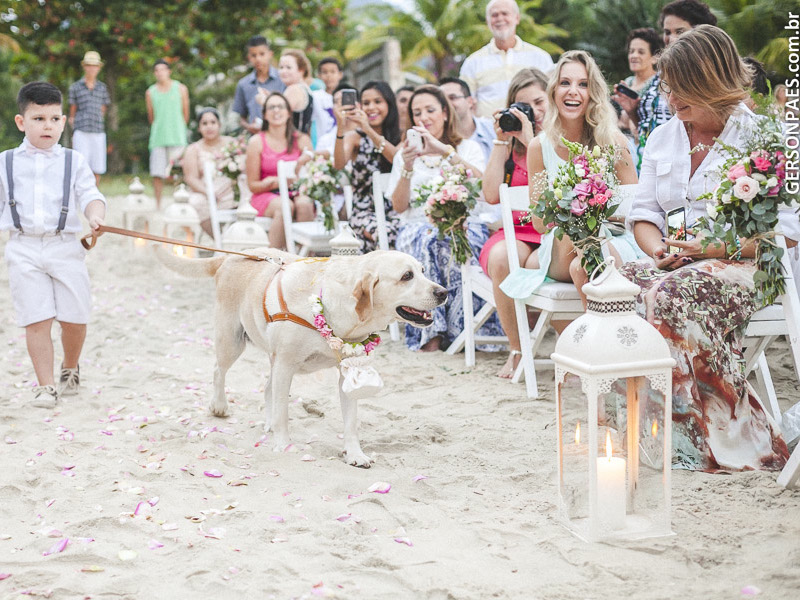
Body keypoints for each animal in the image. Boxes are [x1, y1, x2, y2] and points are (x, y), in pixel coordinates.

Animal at [156, 246, 444, 466]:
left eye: (423, 271)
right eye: (406, 276)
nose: (444, 292)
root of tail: (231, 256)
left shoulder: (345, 371)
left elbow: (351, 423)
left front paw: (355, 453)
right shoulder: (286, 364)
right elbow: (283, 412)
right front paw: (283, 445)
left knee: (266, 388)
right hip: (232, 341)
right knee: (219, 370)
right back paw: (219, 406)